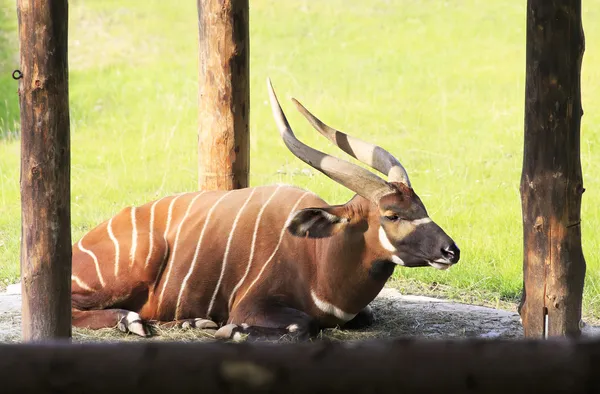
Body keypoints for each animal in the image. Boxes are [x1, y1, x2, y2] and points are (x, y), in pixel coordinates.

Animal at [72, 78, 462, 340]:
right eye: (392, 214)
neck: (318, 257)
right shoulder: (251, 305)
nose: (451, 251)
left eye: (421, 205)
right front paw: (233, 331)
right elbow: (303, 325)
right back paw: (131, 320)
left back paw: (191, 321)